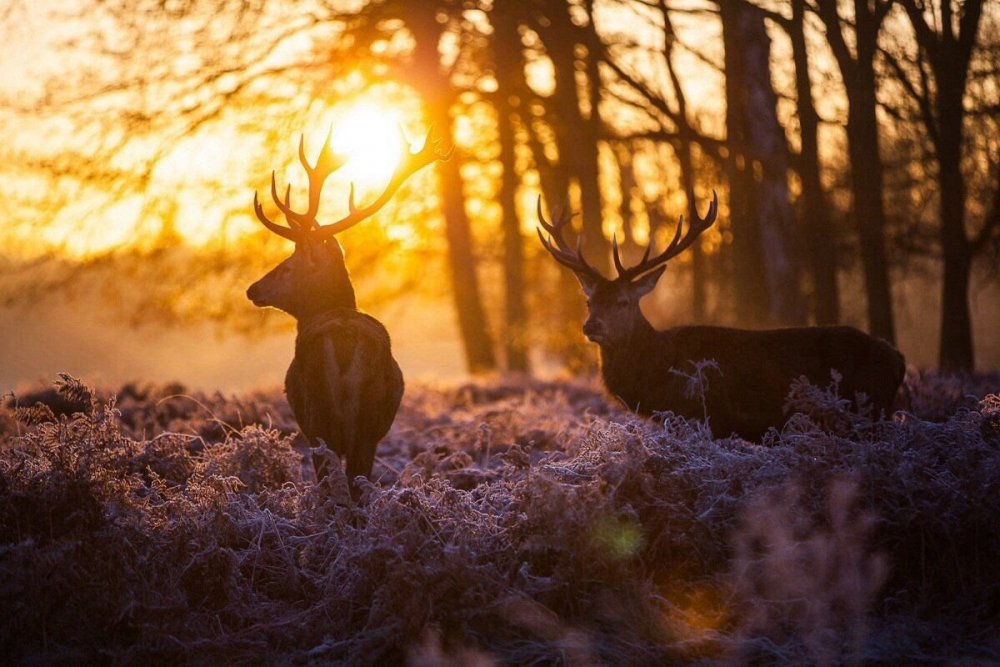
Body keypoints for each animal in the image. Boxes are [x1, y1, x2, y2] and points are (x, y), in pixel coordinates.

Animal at [540, 193, 908, 440]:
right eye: (589, 302)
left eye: (623, 302)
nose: (591, 326)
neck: (658, 371)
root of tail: (898, 359)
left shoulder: (704, 418)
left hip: (867, 410)